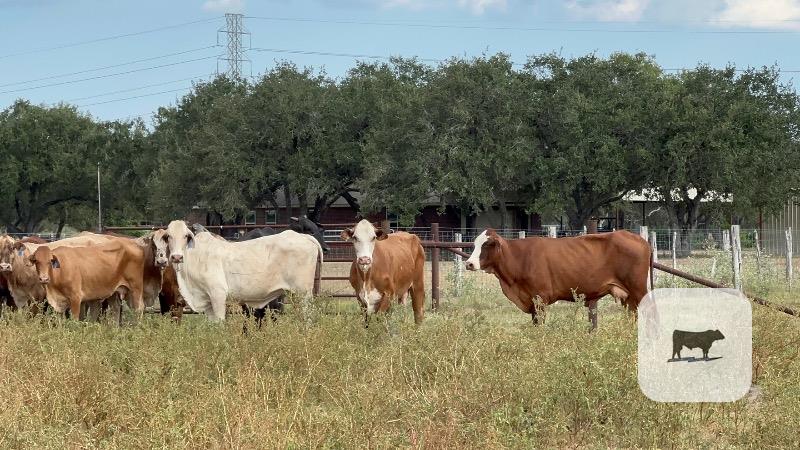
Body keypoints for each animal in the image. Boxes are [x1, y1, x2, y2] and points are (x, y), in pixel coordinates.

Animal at [162, 220, 322, 321]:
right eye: (168, 236)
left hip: (303, 293)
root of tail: (302, 236)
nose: (177, 257)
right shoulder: (208, 302)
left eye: (186, 236)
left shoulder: (218, 295)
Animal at [465, 229, 651, 330]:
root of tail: (639, 238)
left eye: (487, 244)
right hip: (628, 297)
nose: (469, 263)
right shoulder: (532, 301)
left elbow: (540, 326)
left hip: (638, 290)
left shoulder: (540, 299)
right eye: (474, 244)